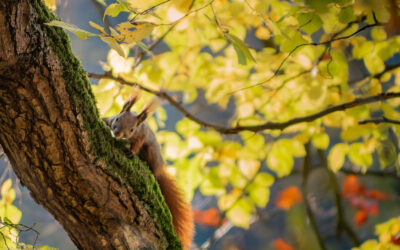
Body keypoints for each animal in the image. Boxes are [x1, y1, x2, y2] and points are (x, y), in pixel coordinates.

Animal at [102, 94, 195, 250]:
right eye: (117, 119)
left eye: (132, 129)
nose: (117, 133)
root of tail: (160, 169)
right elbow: (105, 119)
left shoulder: (141, 136)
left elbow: (137, 144)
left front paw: (132, 152)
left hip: (151, 153)